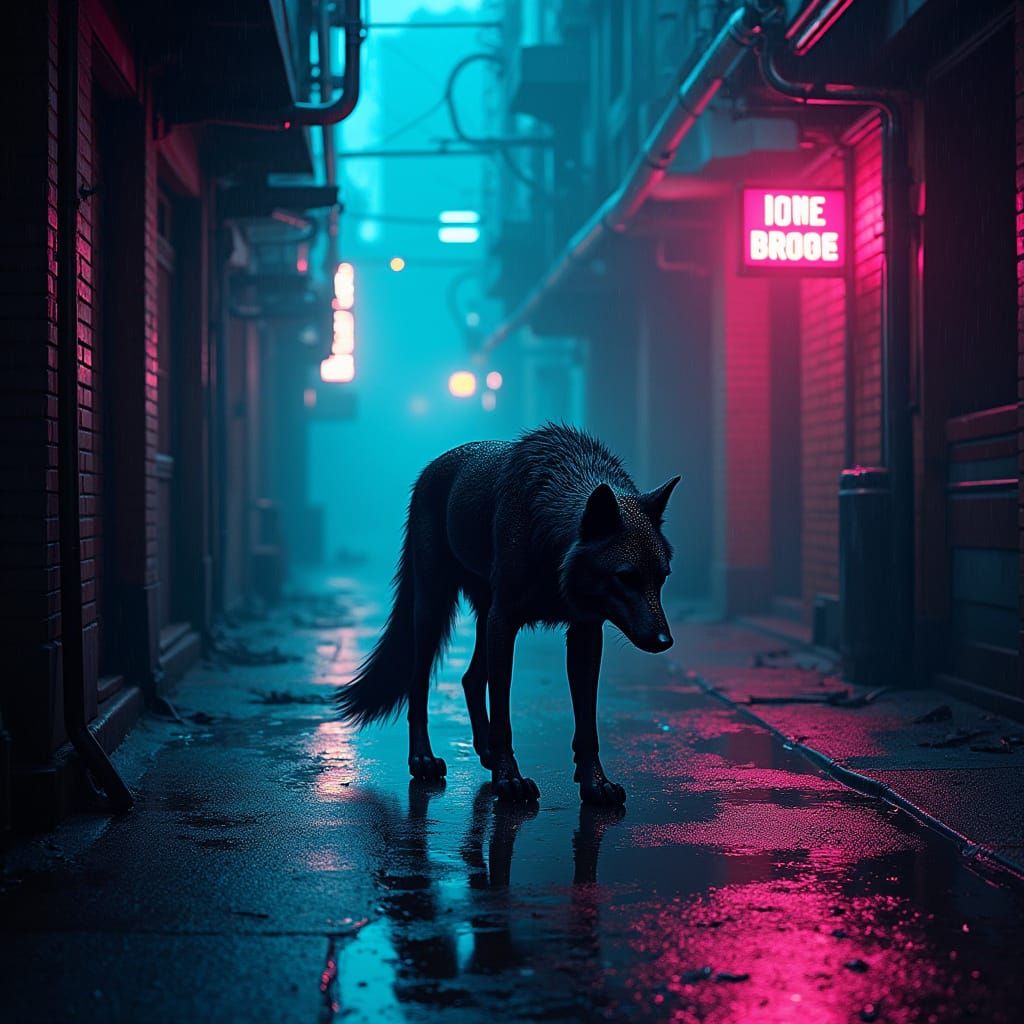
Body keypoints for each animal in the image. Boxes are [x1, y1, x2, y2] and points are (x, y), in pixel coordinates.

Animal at [336, 423, 679, 804]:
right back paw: (423, 760)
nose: (664, 641)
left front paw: (596, 785)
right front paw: (509, 780)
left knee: (469, 678)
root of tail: (430, 468)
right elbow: (503, 716)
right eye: (625, 577)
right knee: (419, 683)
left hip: (483, 617)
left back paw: (483, 751)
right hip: (433, 610)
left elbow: (587, 723)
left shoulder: (586, 630)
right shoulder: (505, 622)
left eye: (662, 577)